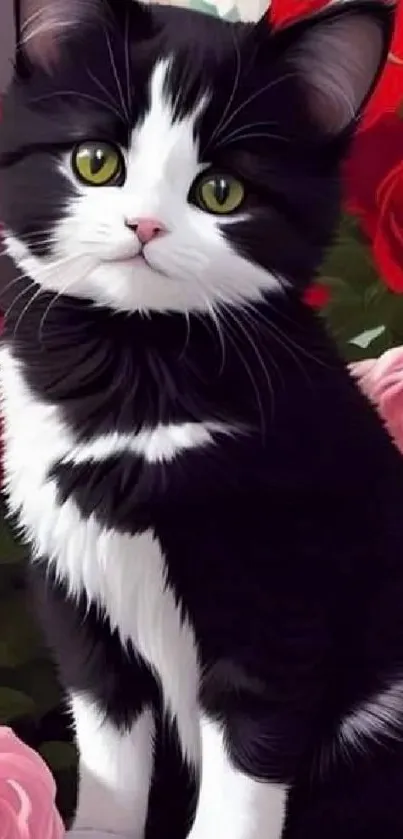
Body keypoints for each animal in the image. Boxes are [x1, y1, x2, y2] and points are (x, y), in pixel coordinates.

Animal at [0, 0, 403, 836]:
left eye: (221, 191)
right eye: (95, 162)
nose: (144, 226)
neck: (134, 372)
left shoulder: (284, 593)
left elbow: (249, 755)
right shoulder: (74, 586)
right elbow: (108, 744)